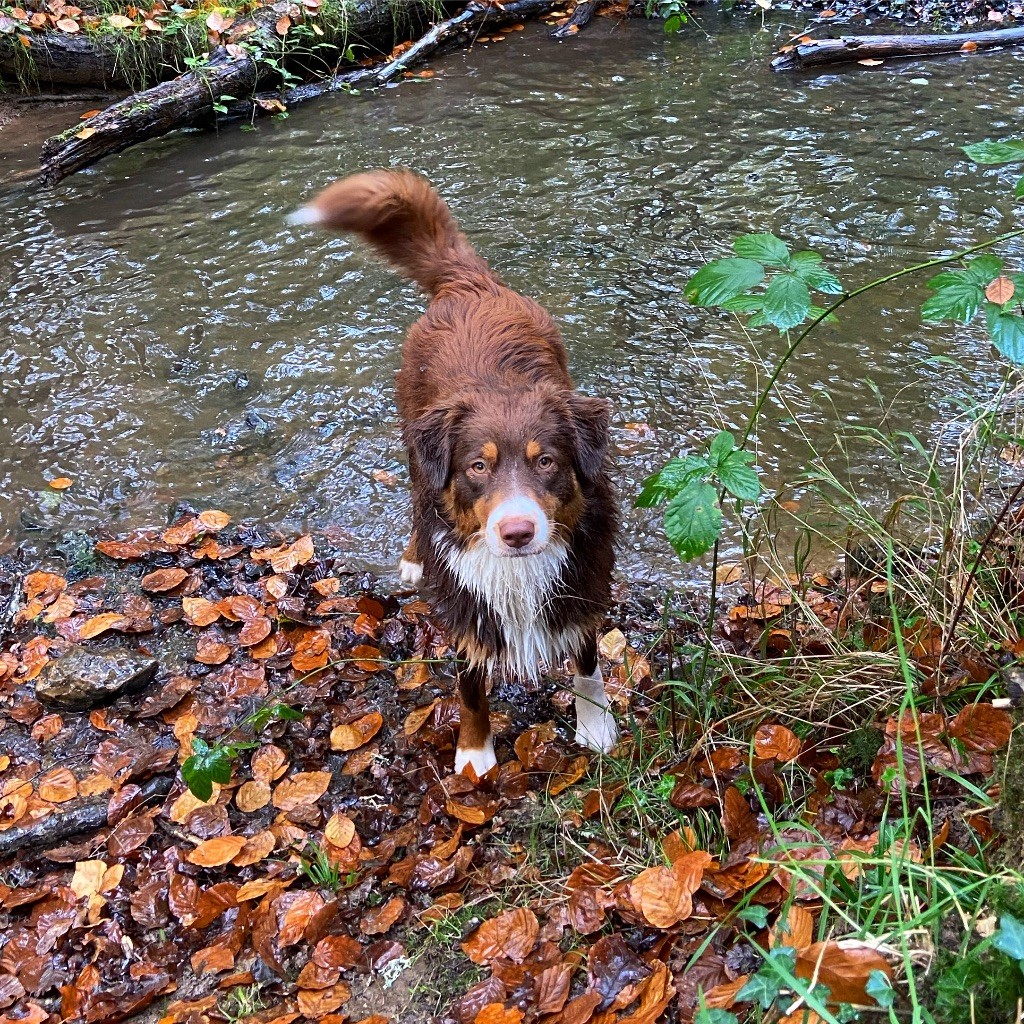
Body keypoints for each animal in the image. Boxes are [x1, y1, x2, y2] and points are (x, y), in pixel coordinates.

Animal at [292, 169, 618, 774]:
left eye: (546, 461)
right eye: (477, 466)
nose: (517, 532)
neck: (517, 574)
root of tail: (468, 285)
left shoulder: (582, 585)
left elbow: (587, 664)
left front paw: (596, 728)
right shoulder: (467, 607)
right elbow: (469, 686)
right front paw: (474, 755)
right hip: (413, 448)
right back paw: (414, 558)